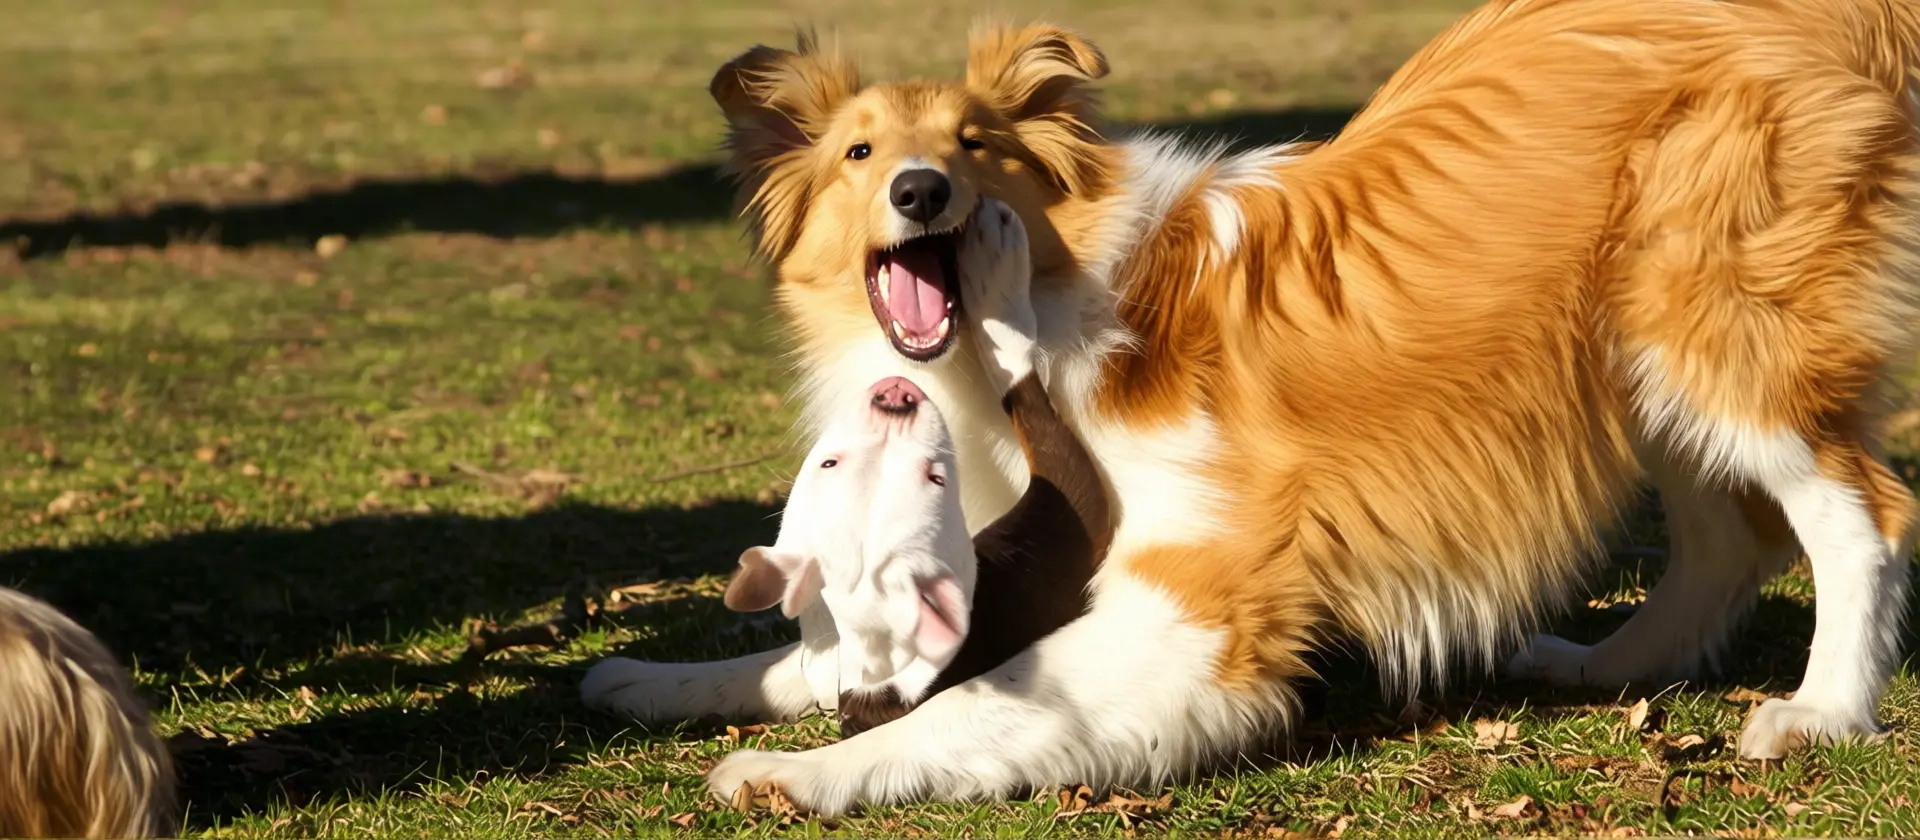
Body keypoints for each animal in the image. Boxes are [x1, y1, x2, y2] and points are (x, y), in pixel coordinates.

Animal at [583, 200, 1113, 736]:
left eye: (827, 462)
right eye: (935, 478)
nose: (894, 396)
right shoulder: (1063, 514)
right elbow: (1019, 380)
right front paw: (995, 272)